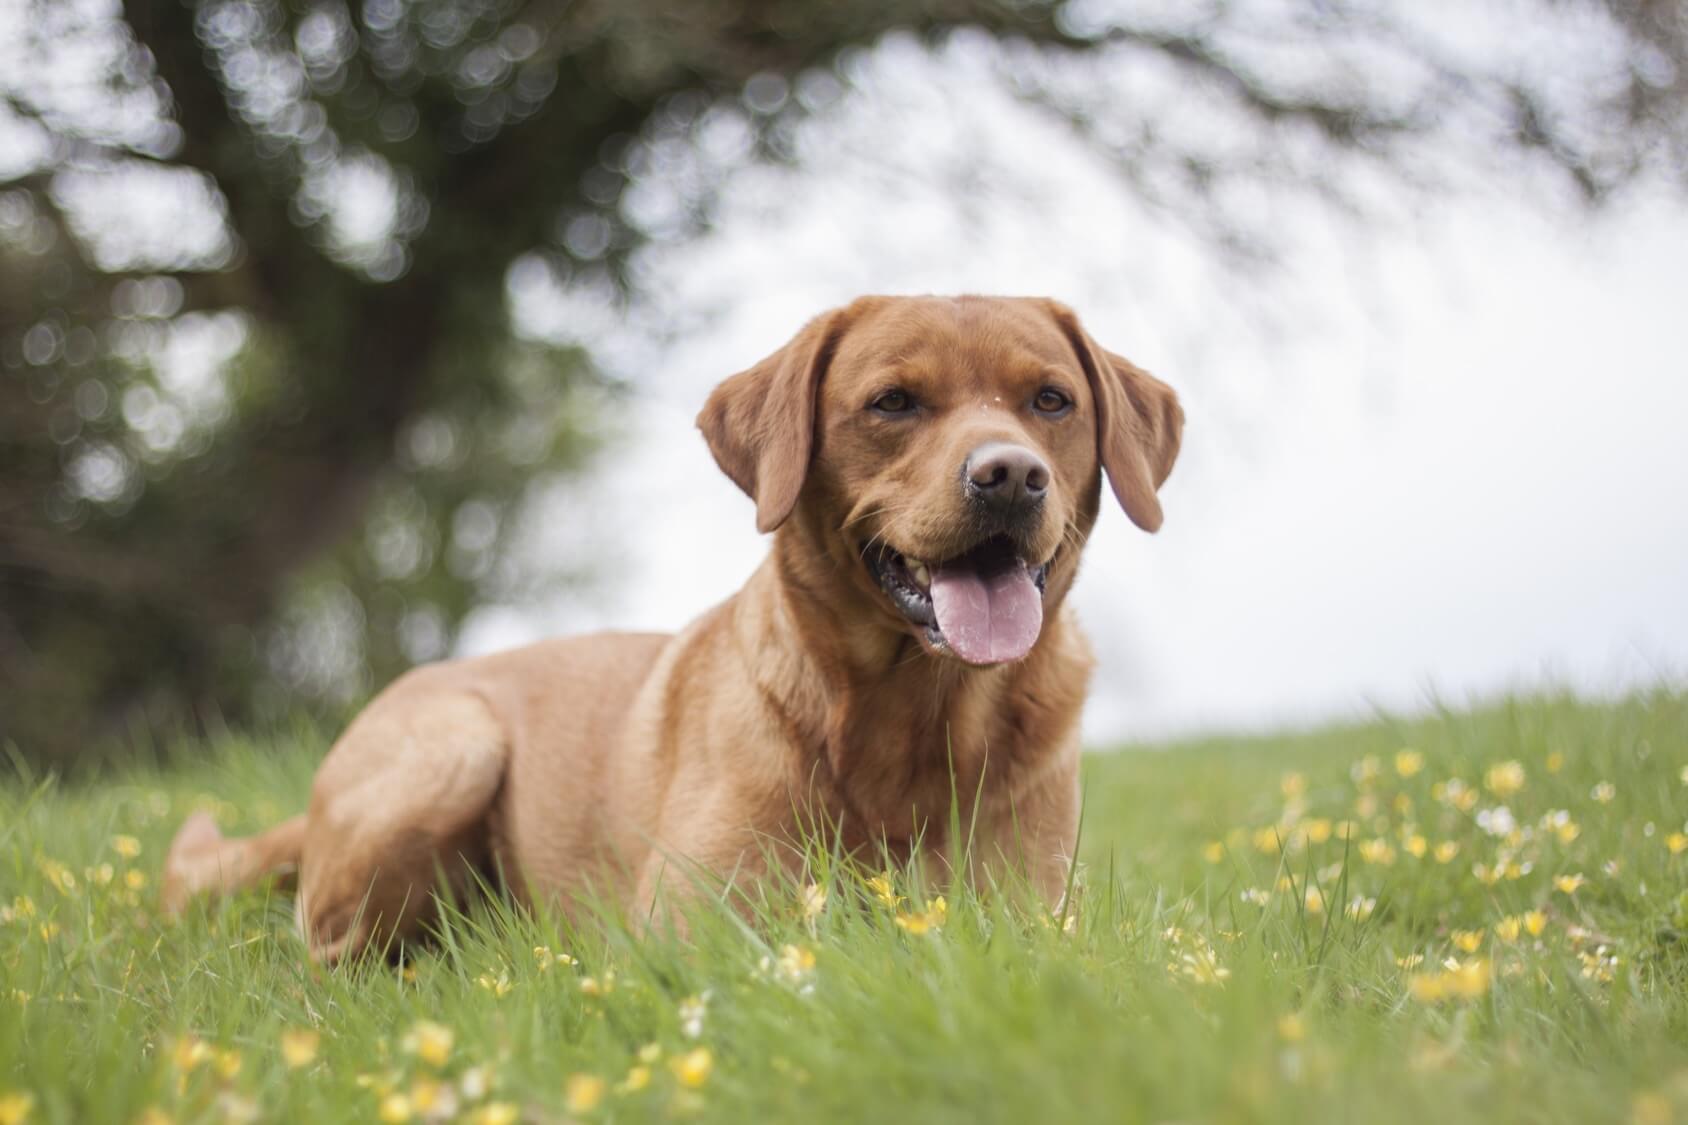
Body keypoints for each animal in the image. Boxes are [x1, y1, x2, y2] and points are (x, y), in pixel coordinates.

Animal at [164, 295, 1181, 952]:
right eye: (893, 402)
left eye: (1051, 400)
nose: (1009, 475)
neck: (910, 717)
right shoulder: (697, 931)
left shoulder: (1026, 913)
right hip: (451, 748)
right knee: (321, 957)